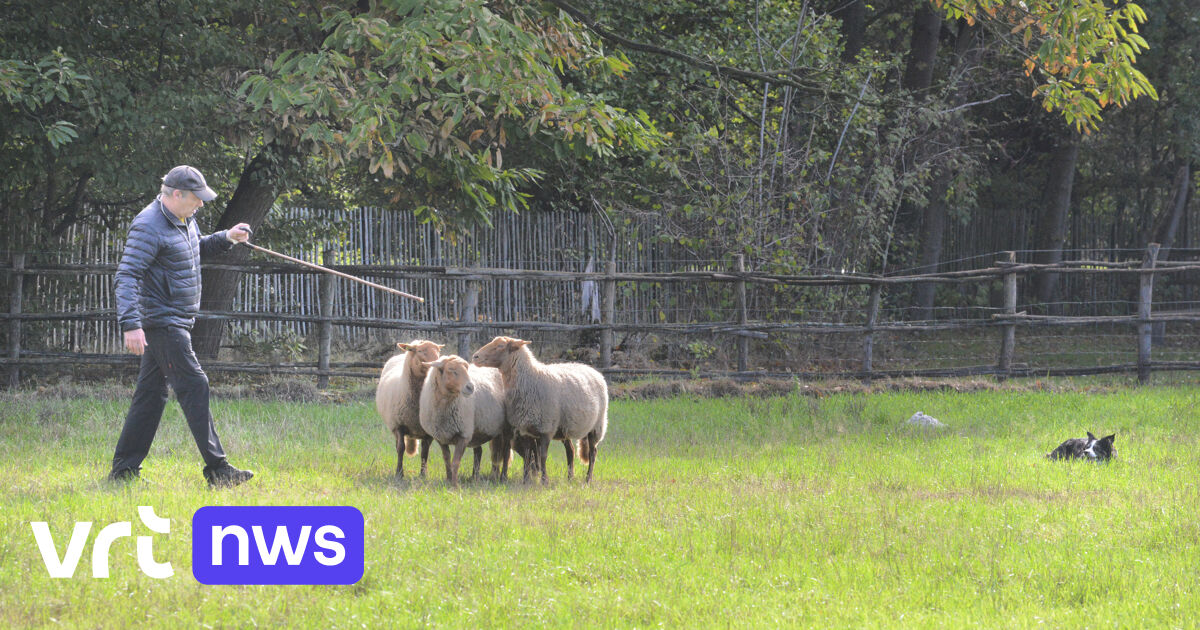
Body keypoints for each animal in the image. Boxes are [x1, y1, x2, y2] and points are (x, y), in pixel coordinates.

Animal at [372, 338, 444, 477]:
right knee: (398, 446)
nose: (437, 366)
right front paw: (399, 473)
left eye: (438, 351)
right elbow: (400, 449)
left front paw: (423, 474)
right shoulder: (398, 425)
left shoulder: (428, 431)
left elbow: (425, 452)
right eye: (420, 351)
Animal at [420, 352, 508, 487]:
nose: (470, 387)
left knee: (504, 453)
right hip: (480, 429)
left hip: (506, 428)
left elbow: (456, 461)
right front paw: (448, 479)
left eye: (467, 369)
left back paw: (501, 477)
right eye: (451, 369)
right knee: (486, 452)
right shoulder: (441, 437)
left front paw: (455, 485)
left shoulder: (464, 434)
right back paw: (479, 477)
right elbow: (447, 459)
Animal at [470, 336, 609, 484]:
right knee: (570, 450)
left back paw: (588, 479)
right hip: (564, 428)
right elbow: (528, 455)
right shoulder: (525, 428)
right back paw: (570, 477)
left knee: (593, 453)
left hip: (597, 426)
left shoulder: (546, 428)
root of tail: (593, 370)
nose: (475, 356)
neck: (531, 379)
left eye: (501, 345)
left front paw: (544, 480)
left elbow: (542, 456)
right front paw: (525, 480)